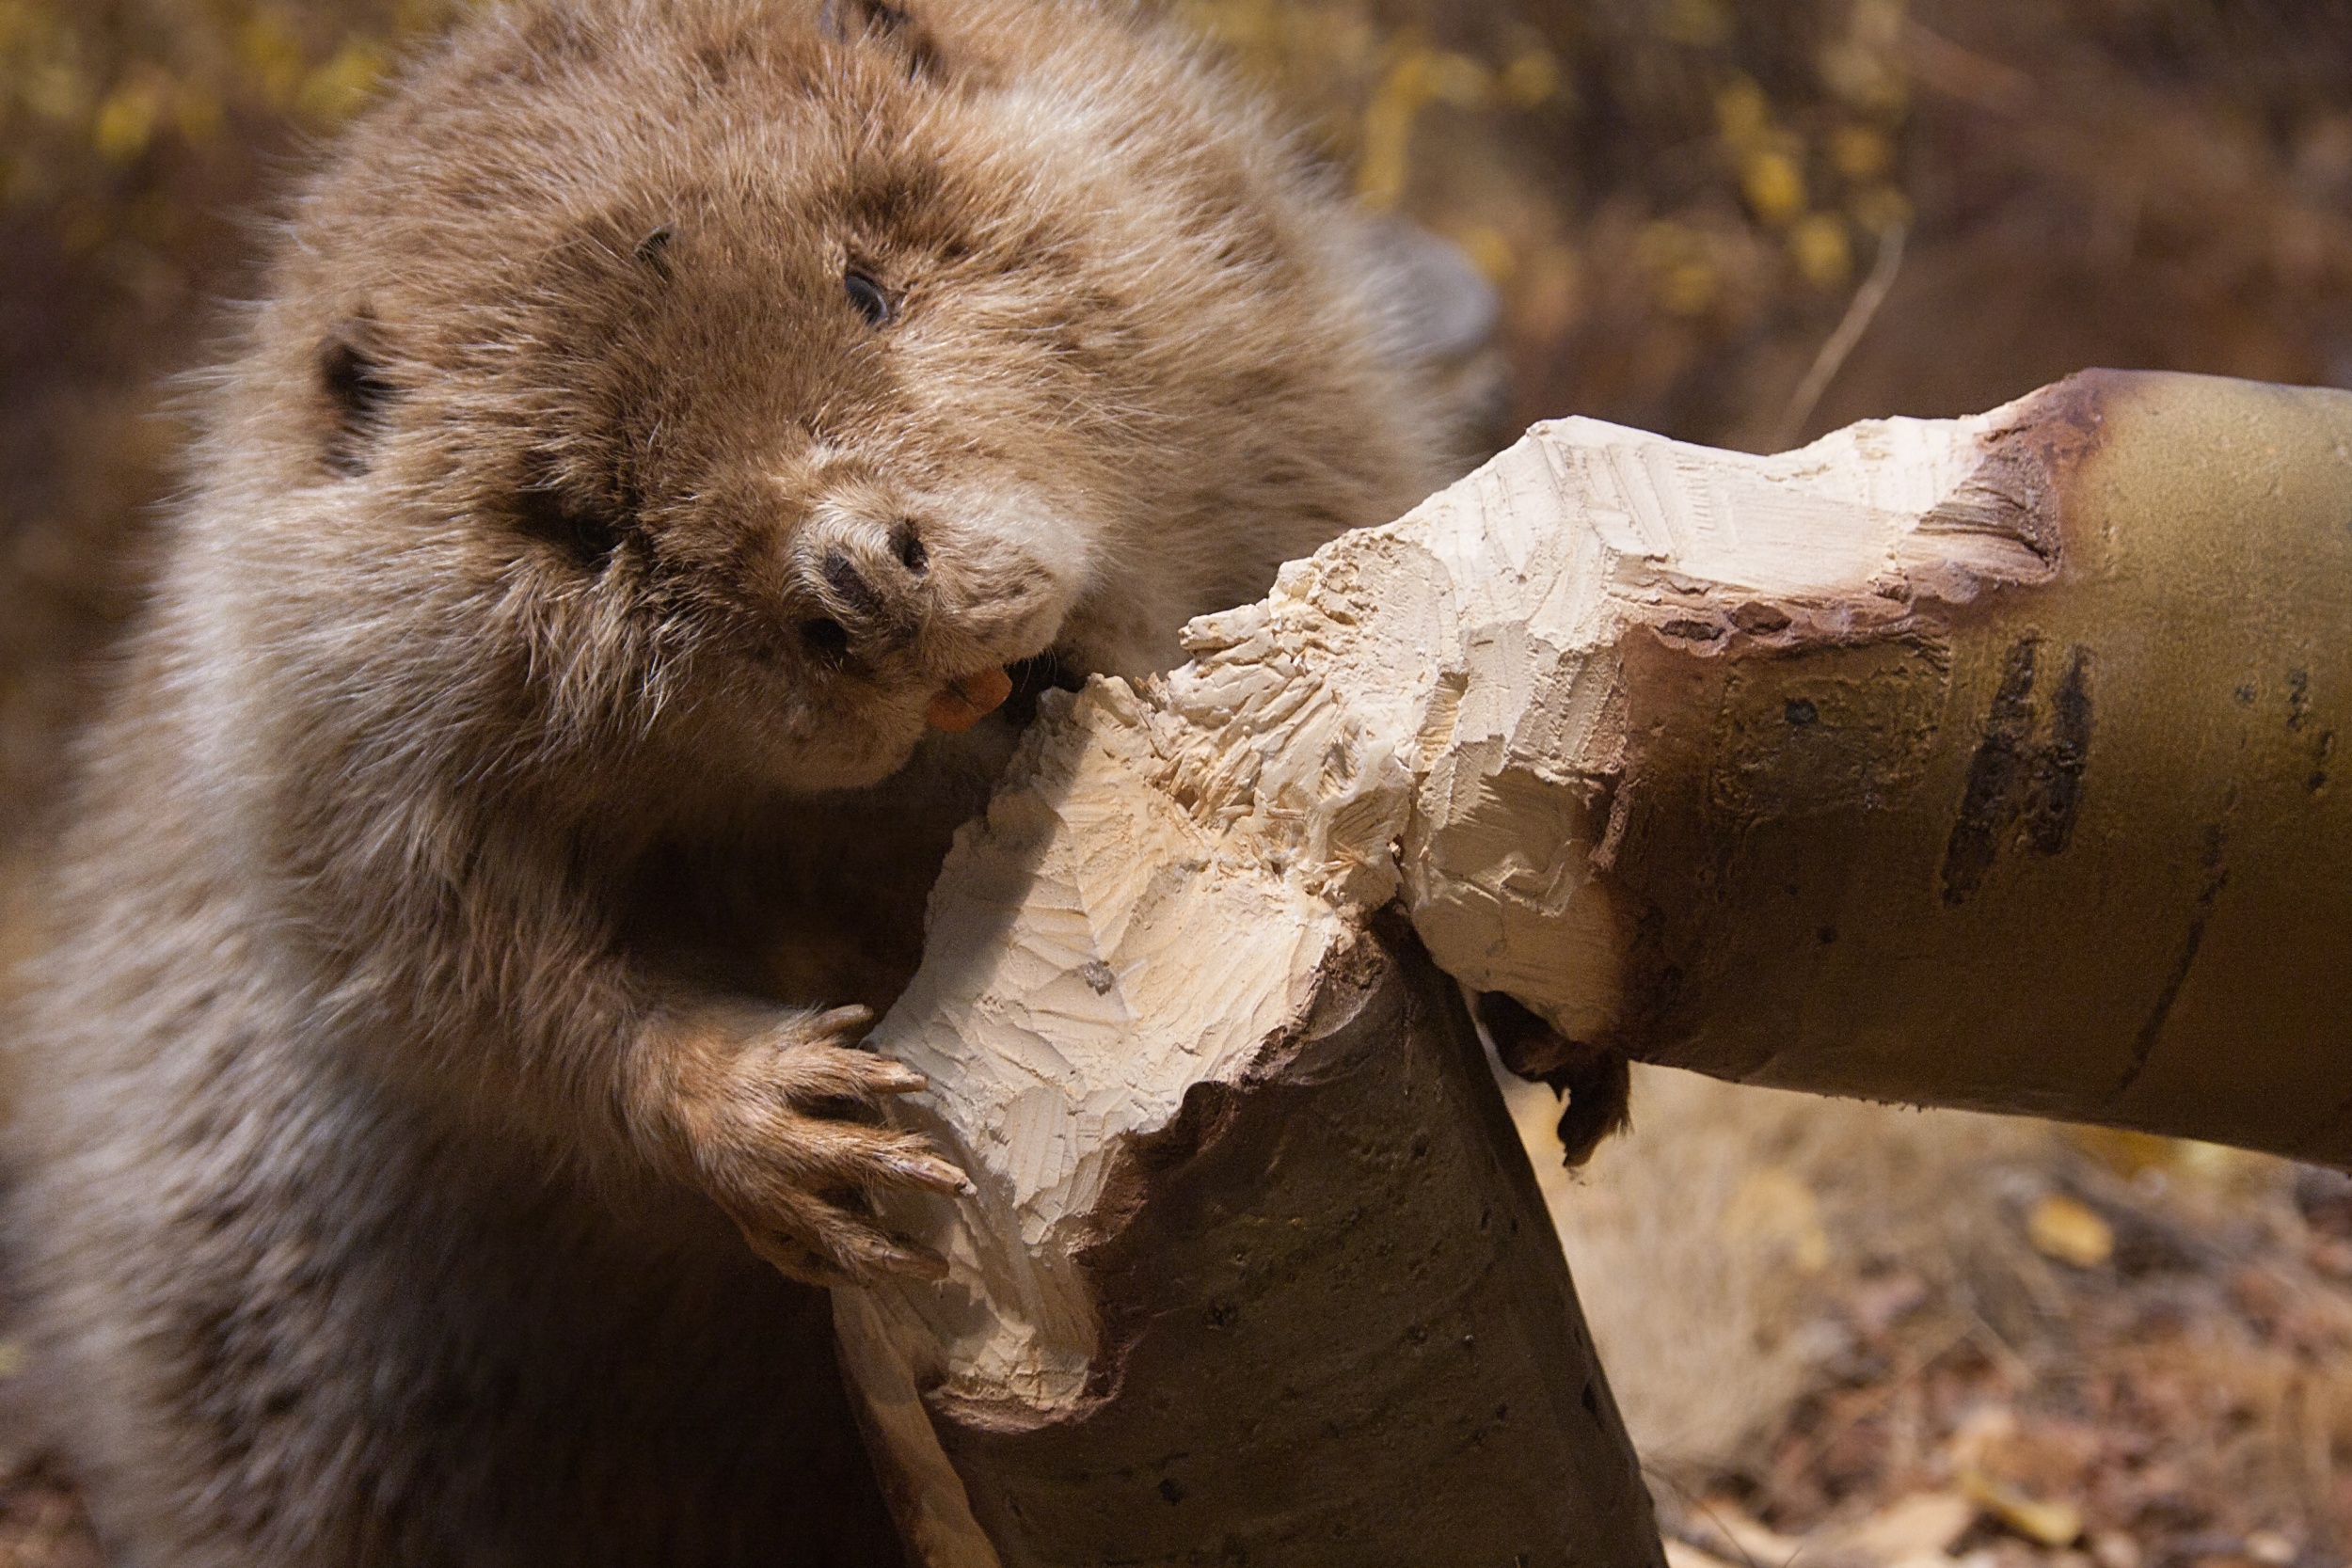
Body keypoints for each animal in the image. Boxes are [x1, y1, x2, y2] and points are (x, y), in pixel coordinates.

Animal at [0, 0, 1477, 1560]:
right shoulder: (306, 731)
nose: (857, 582)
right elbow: (449, 978)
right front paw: (798, 1126)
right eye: (584, 518)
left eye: (870, 286)